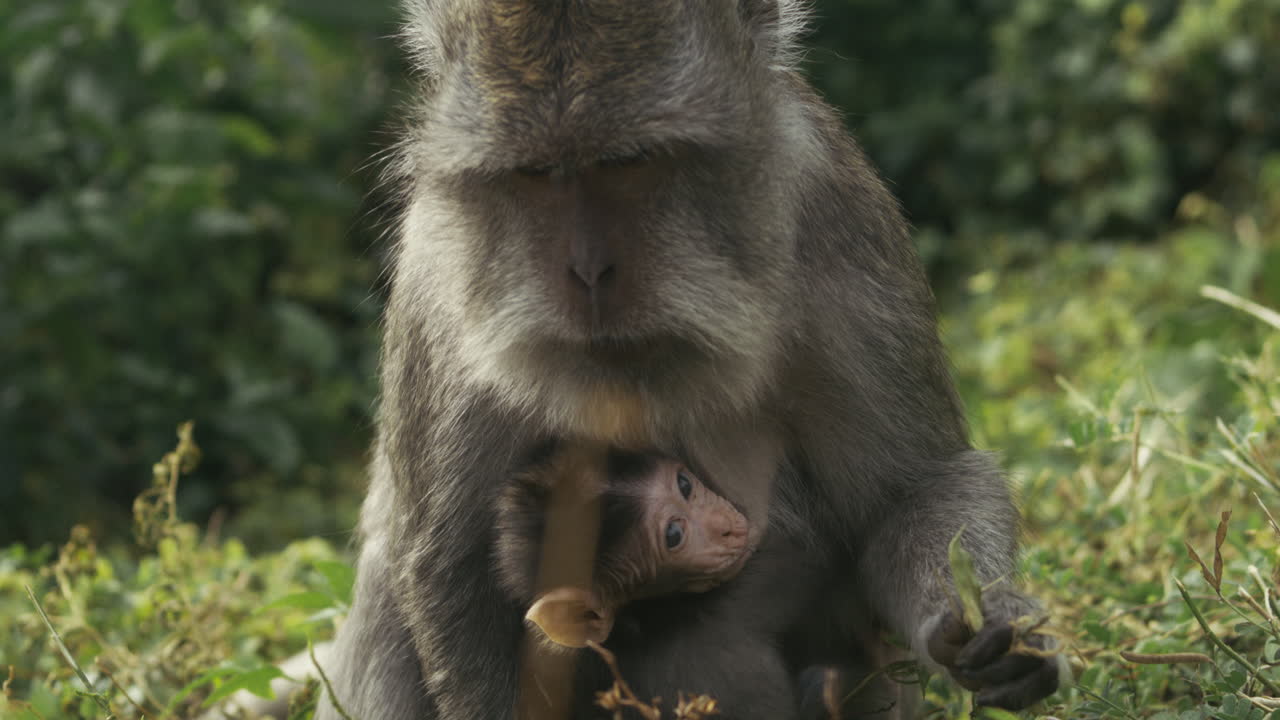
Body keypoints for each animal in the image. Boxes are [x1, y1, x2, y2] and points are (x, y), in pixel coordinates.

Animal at [317, 1, 1065, 719]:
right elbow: (450, 567)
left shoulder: (834, 212)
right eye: (533, 173)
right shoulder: (435, 275)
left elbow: (914, 490)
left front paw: (999, 632)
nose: (589, 274)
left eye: (628, 162)